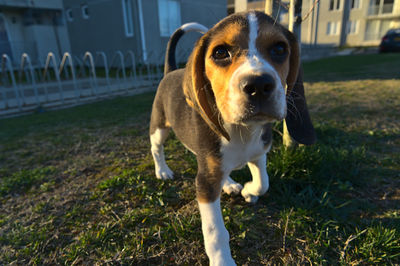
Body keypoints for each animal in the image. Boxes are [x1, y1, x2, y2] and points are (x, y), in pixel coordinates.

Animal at [150, 10, 316, 266]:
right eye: (220, 53)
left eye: (279, 49)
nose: (258, 85)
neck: (242, 131)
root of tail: (171, 71)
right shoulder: (205, 183)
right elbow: (215, 231)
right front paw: (222, 260)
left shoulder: (259, 153)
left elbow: (264, 182)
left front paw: (249, 190)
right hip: (160, 127)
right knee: (156, 148)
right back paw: (163, 171)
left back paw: (229, 184)